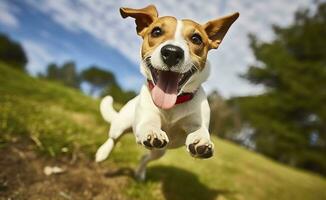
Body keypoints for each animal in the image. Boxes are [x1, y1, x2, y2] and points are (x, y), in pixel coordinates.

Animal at [95, 4, 238, 180]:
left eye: (196, 39)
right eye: (156, 31)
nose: (172, 52)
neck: (174, 104)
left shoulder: (196, 122)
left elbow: (200, 130)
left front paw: (202, 141)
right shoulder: (146, 117)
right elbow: (149, 124)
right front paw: (152, 131)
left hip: (159, 152)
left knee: (145, 157)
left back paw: (140, 172)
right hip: (121, 125)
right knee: (113, 139)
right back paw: (102, 153)